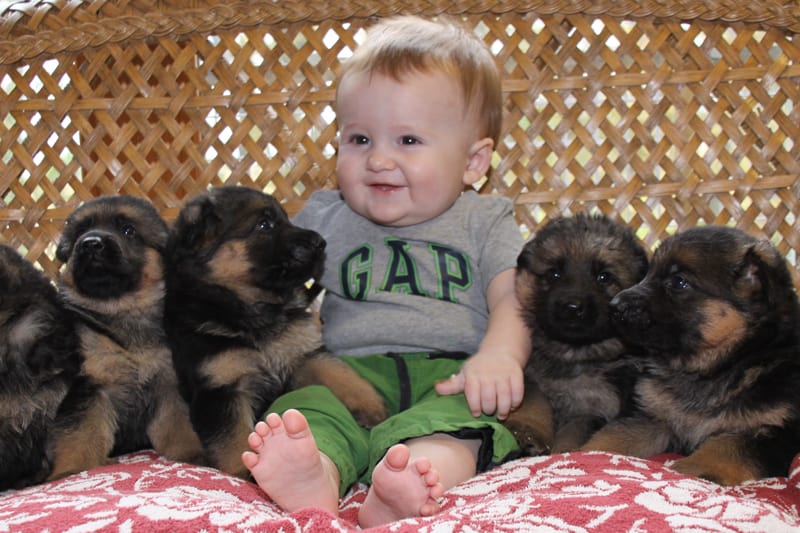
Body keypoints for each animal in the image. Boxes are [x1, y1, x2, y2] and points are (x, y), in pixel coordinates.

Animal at [47, 195, 205, 478]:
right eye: (80, 232)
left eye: (128, 230)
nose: (90, 243)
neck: (122, 309)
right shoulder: (92, 385)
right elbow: (80, 433)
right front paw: (73, 471)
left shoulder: (168, 384)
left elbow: (179, 425)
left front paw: (192, 454)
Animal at [164, 185, 386, 476]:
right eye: (264, 224)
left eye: (287, 219)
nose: (320, 242)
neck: (253, 311)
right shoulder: (220, 392)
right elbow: (233, 441)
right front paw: (245, 474)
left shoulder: (305, 354)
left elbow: (342, 374)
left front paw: (372, 406)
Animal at [506, 214, 648, 456]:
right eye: (554, 274)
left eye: (604, 277)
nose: (572, 307)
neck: (574, 354)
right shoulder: (531, 377)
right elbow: (535, 402)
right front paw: (529, 431)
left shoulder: (596, 409)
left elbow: (573, 432)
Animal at [580, 227, 800, 484]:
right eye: (649, 273)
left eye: (678, 282)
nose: (614, 306)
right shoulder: (652, 417)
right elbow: (611, 438)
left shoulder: (778, 432)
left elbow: (726, 446)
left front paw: (686, 472)